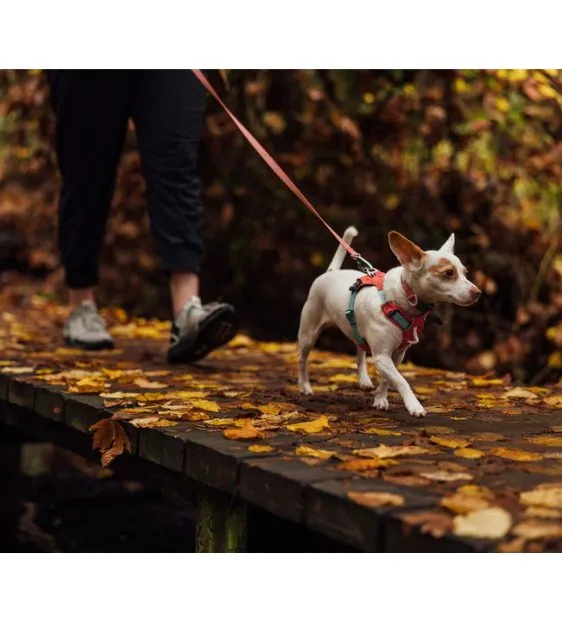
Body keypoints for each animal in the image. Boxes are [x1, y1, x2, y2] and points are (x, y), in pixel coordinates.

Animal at [296, 228, 480, 420]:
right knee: (302, 360)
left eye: (465, 272)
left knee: (360, 353)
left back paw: (364, 380)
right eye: (448, 273)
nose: (478, 293)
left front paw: (380, 399)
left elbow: (388, 380)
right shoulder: (382, 356)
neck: (403, 299)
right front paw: (414, 405)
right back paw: (305, 386)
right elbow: (401, 380)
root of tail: (330, 272)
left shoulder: (397, 355)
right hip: (308, 335)